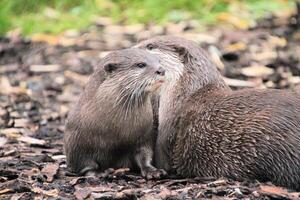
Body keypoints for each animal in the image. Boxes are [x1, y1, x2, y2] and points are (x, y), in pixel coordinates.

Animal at [63, 48, 166, 178]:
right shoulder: (75, 140)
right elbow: (85, 163)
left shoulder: (146, 134)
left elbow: (144, 154)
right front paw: (99, 173)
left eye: (159, 61)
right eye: (140, 64)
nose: (161, 70)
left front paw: (152, 170)